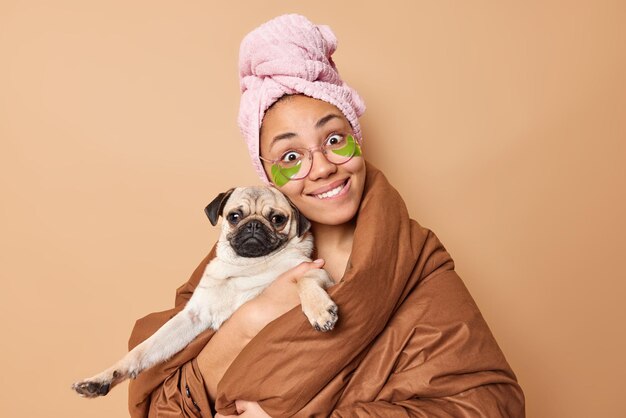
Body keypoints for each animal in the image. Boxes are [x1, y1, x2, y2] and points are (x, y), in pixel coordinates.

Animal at [72, 186, 336, 398]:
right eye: (234, 216)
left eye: (277, 218)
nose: (253, 224)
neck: (246, 266)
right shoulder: (193, 316)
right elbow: (143, 349)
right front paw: (104, 377)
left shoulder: (320, 273)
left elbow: (303, 279)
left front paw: (319, 311)